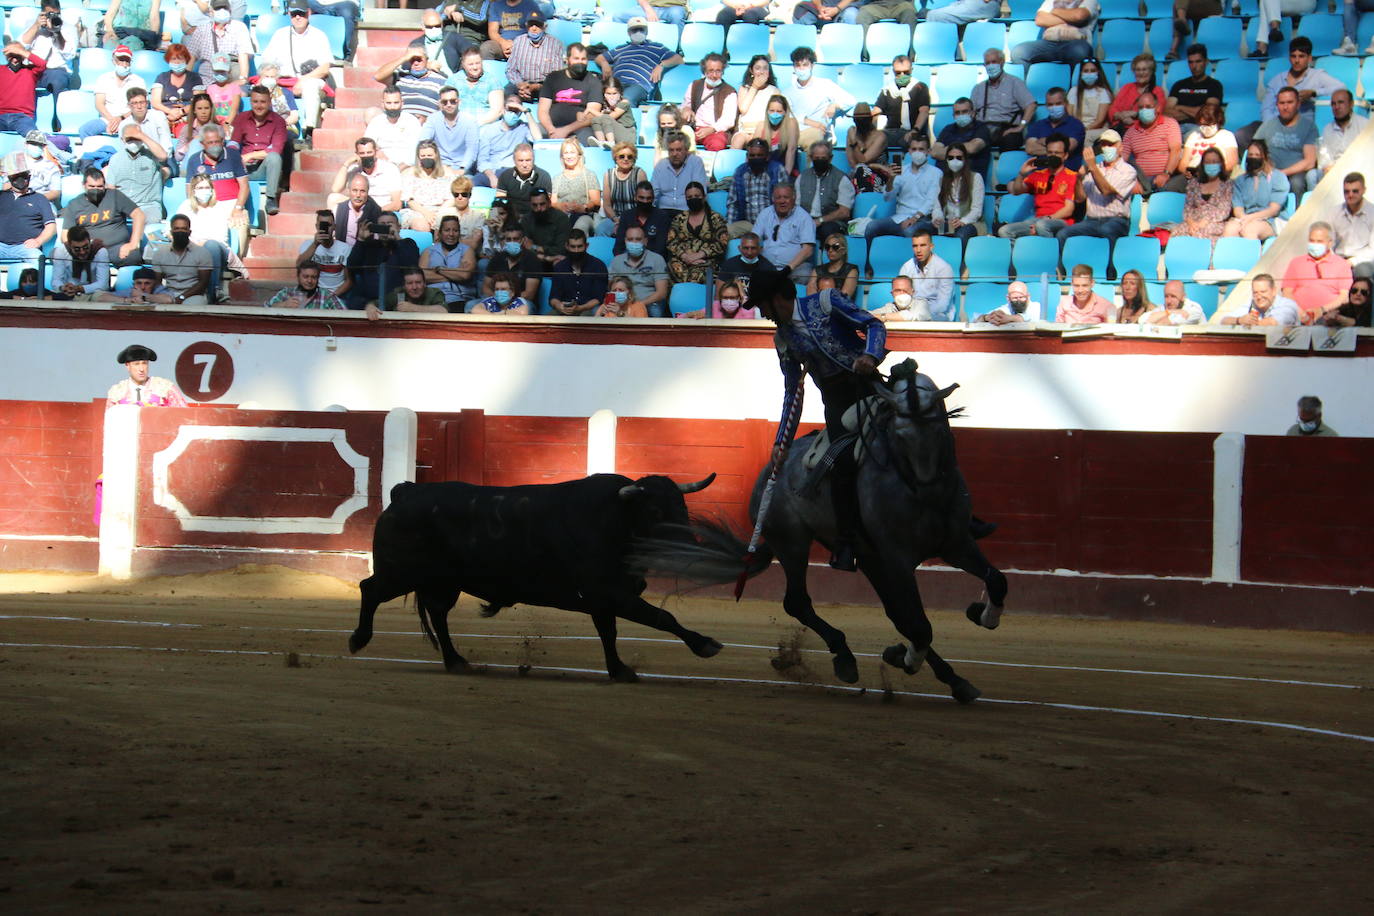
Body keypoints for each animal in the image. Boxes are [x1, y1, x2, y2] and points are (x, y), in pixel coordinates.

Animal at [348, 472, 725, 681]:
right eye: (655, 510)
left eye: (683, 507)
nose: (693, 548)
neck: (615, 520)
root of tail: (406, 492)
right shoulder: (609, 593)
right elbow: (662, 617)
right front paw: (705, 644)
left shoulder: (606, 599)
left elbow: (610, 633)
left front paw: (619, 671)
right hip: (401, 572)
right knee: (370, 589)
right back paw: (358, 640)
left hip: (442, 583)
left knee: (438, 616)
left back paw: (456, 661)